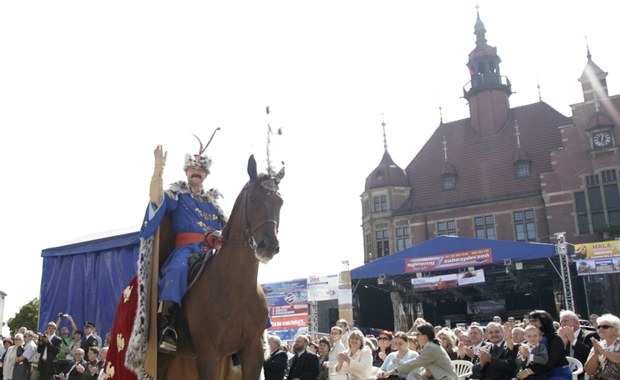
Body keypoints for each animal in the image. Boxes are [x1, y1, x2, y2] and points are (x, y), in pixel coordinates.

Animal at [160, 155, 286, 380]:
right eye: (253, 199)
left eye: (279, 202)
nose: (269, 246)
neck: (236, 287)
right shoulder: (207, 354)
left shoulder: (252, 352)